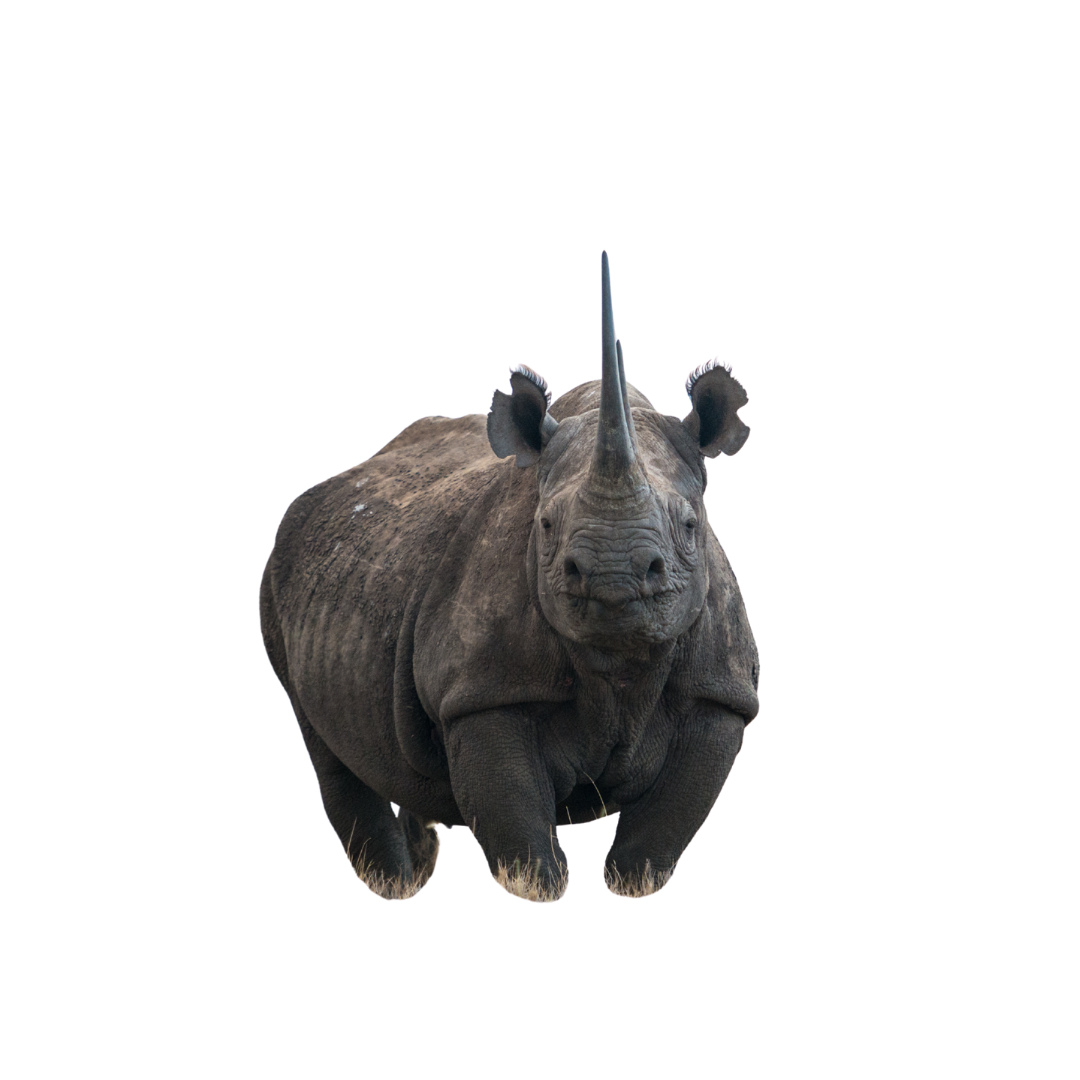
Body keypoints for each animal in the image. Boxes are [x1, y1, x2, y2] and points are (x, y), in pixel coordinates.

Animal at [259, 251, 760, 899]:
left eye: (691, 525)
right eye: (544, 525)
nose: (612, 576)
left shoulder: (719, 693)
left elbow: (652, 848)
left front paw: (631, 883)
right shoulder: (483, 691)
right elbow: (522, 844)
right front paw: (538, 887)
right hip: (278, 580)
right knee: (329, 750)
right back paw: (393, 885)